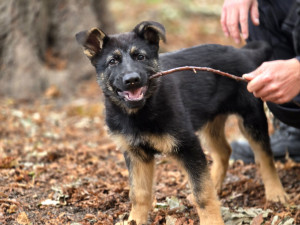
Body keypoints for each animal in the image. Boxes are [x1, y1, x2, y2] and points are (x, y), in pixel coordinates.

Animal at [76, 21, 288, 225]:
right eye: (112, 61)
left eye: (141, 57)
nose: (132, 80)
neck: (140, 112)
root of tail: (244, 53)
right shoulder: (136, 155)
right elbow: (138, 194)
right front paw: (134, 220)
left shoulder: (188, 147)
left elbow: (202, 193)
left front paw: (212, 222)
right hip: (210, 124)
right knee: (224, 152)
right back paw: (215, 183)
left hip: (251, 120)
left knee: (265, 157)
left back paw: (276, 193)